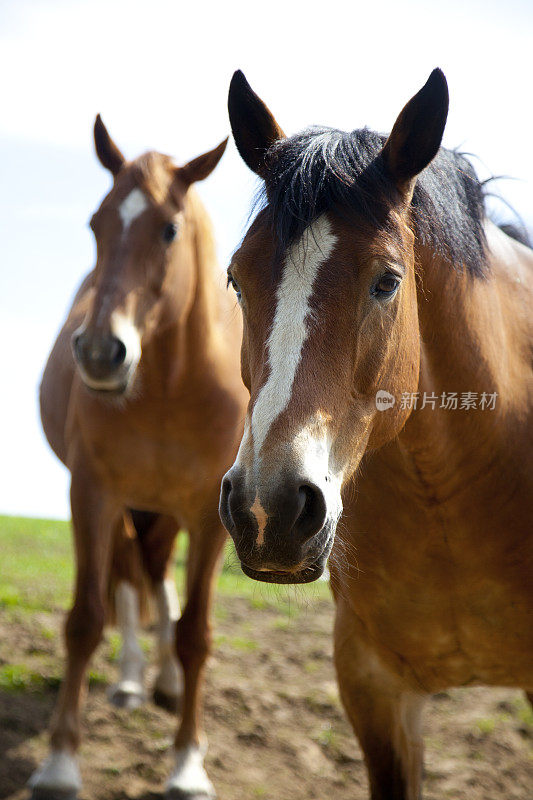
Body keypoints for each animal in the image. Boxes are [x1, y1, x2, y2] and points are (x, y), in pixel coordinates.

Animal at [29, 117, 245, 800]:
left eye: (169, 229)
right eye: (96, 223)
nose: (102, 353)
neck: (172, 388)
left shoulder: (209, 515)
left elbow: (197, 631)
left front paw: (187, 764)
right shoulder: (93, 493)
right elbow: (85, 619)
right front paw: (60, 761)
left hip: (167, 514)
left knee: (159, 586)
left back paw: (167, 683)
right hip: (129, 507)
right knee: (130, 583)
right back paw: (129, 681)